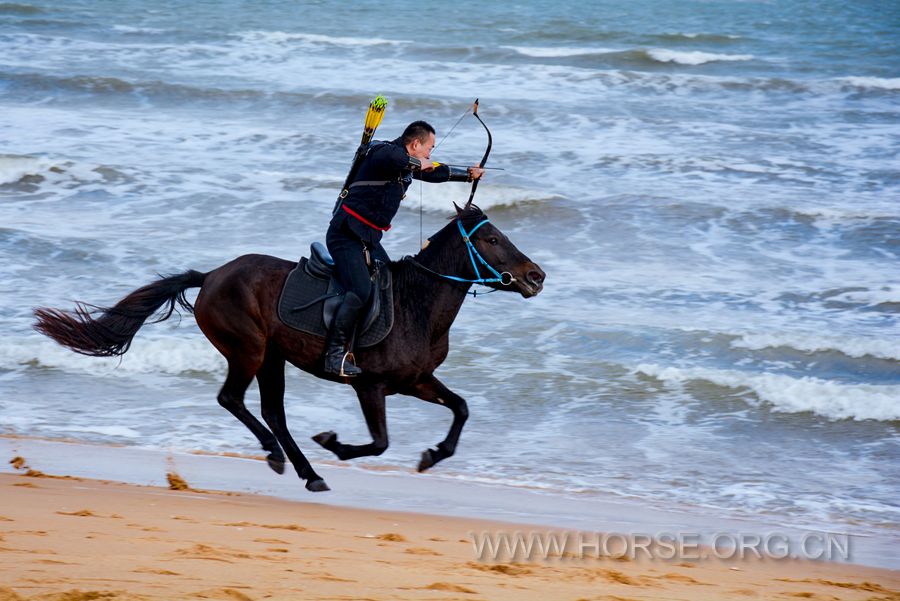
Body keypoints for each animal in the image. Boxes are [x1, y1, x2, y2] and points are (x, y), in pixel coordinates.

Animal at [33, 204, 540, 490]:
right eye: (492, 239)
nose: (537, 276)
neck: (416, 304)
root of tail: (211, 276)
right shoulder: (370, 386)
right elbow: (379, 442)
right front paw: (335, 443)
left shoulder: (416, 380)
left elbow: (461, 408)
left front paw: (433, 455)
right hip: (249, 350)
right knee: (232, 399)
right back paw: (280, 456)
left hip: (272, 357)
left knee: (272, 412)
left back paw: (307, 473)